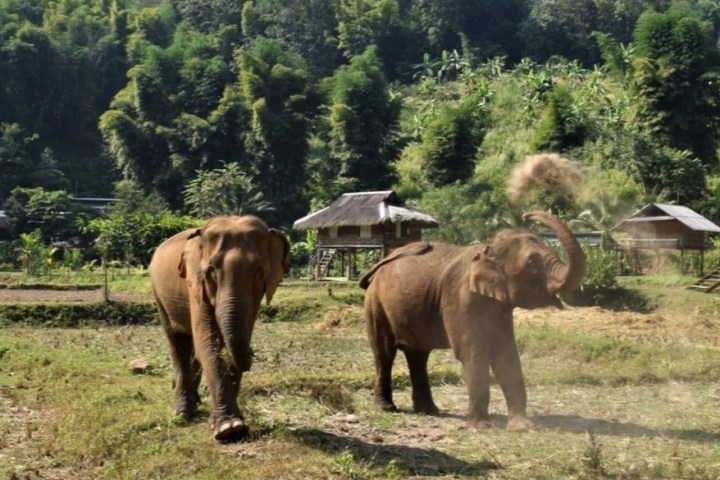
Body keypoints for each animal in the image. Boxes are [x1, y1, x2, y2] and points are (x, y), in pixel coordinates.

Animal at [149, 215, 290, 441]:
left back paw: (195, 401)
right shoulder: (195, 284)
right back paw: (183, 412)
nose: (252, 353)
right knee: (177, 343)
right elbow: (207, 342)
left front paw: (230, 424)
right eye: (211, 271)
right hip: (158, 295)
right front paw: (228, 428)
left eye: (258, 271)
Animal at [358, 211, 585, 431]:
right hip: (375, 302)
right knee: (385, 352)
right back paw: (387, 408)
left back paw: (429, 411)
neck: (487, 251)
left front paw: (522, 427)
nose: (526, 215)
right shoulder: (460, 297)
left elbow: (506, 353)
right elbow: (472, 353)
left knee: (418, 355)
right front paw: (481, 427)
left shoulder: (500, 308)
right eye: (532, 263)